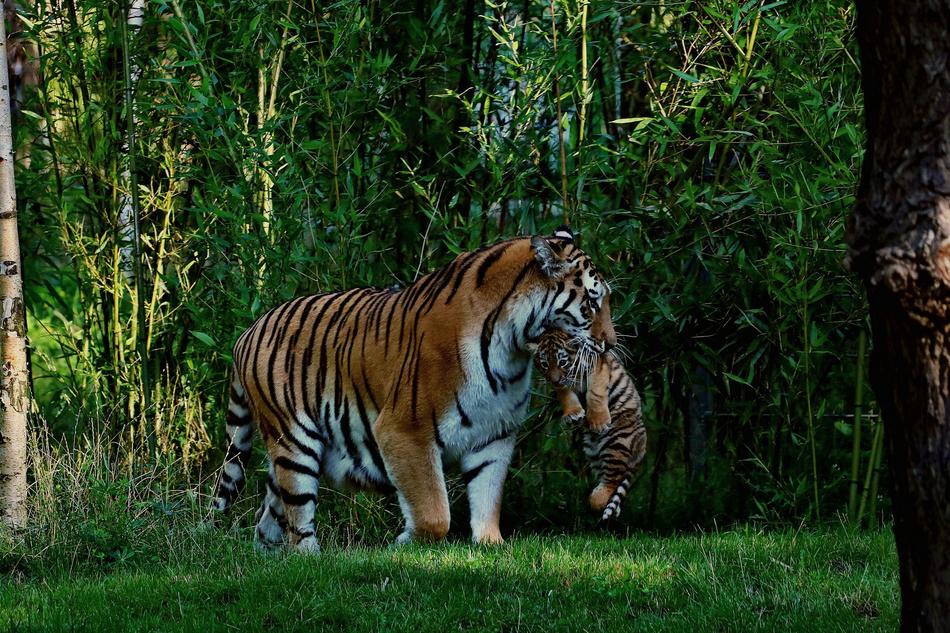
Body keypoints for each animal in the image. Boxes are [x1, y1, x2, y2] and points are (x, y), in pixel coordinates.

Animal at [211, 227, 616, 551]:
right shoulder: (405, 431)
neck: (512, 347)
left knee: (268, 518)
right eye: (592, 301)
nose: (611, 344)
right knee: (298, 516)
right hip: (294, 441)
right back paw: (311, 557)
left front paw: (490, 545)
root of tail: (247, 332)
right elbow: (434, 512)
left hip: (288, 455)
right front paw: (404, 542)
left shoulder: (494, 435)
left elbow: (487, 496)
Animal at [533, 328, 647, 521]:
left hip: (617, 440)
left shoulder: (598, 367)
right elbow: (566, 395)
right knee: (612, 477)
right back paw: (609, 507)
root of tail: (642, 447)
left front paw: (598, 422)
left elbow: (595, 392)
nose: (554, 380)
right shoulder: (563, 384)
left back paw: (596, 501)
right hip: (593, 451)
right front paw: (573, 415)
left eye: (562, 362)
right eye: (545, 364)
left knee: (613, 478)